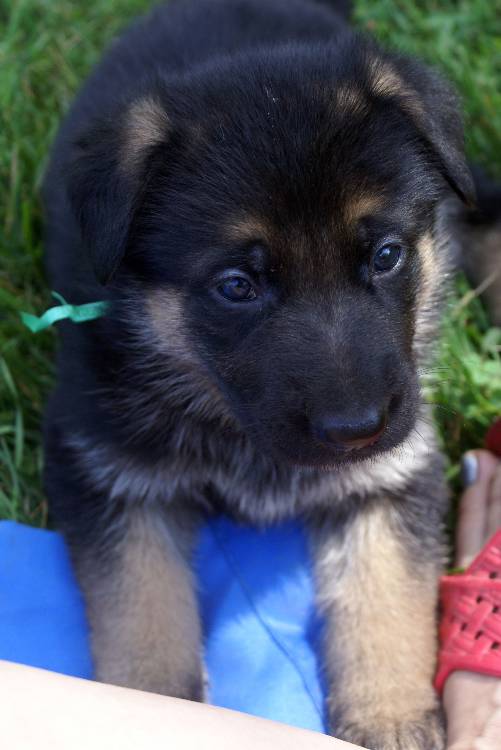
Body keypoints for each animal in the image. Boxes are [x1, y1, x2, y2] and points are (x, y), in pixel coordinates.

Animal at [42, 1, 472, 750]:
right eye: (237, 286)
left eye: (387, 255)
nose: (357, 430)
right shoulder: (104, 470)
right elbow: (140, 606)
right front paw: (150, 705)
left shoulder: (393, 475)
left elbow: (385, 591)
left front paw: (388, 715)